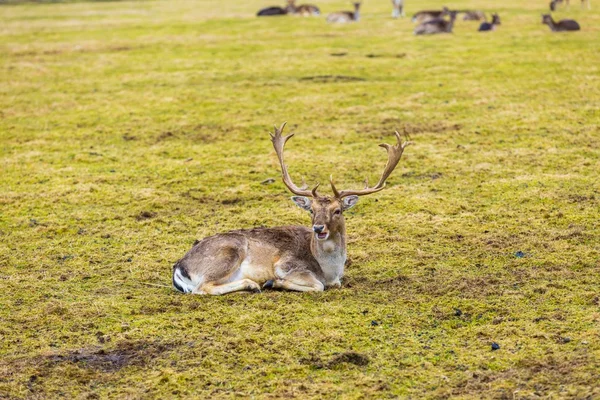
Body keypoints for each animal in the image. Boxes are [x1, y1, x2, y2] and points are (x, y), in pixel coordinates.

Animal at [171, 123, 410, 296]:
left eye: (337, 210)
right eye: (311, 210)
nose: (318, 228)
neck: (330, 269)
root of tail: (179, 267)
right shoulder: (286, 264)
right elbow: (318, 286)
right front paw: (274, 282)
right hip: (228, 252)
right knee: (202, 288)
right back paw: (253, 284)